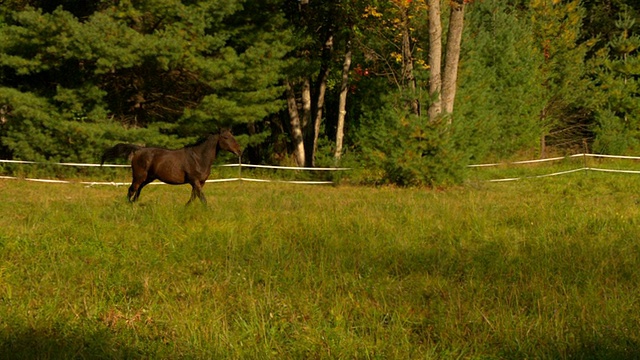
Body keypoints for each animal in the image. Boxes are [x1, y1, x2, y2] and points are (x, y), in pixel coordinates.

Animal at [101, 129, 241, 204]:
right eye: (226, 137)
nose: (239, 151)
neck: (198, 158)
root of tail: (139, 150)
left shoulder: (200, 182)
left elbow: (194, 197)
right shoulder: (195, 181)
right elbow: (202, 198)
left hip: (148, 178)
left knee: (138, 190)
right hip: (139, 176)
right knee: (131, 190)